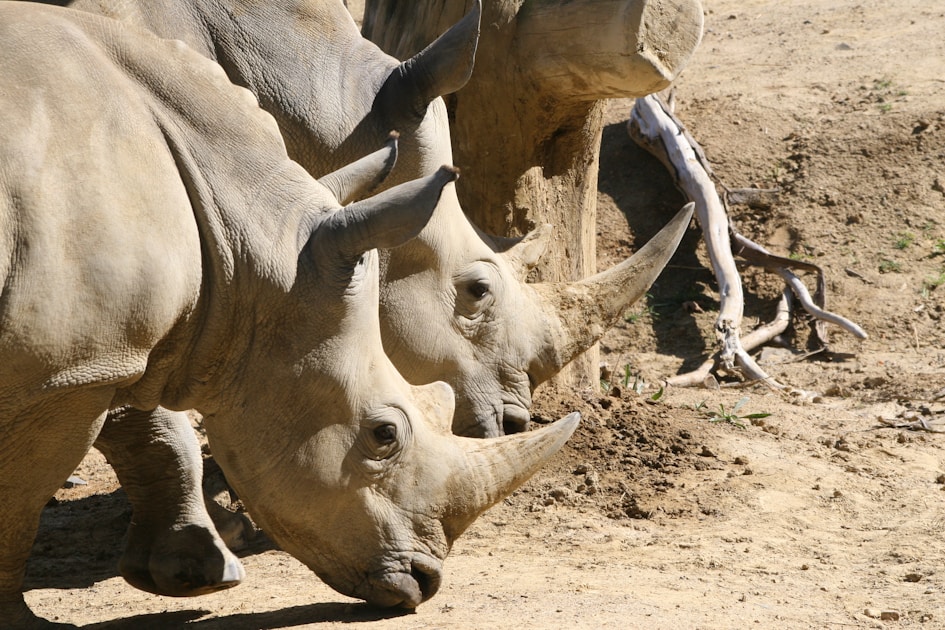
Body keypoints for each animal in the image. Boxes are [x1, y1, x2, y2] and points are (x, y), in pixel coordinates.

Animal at [0, 4, 580, 626]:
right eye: (477, 291)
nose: (424, 584)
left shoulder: (112, 332)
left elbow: (140, 411)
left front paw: (198, 559)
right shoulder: (81, 351)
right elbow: (34, 479)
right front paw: (212, 560)